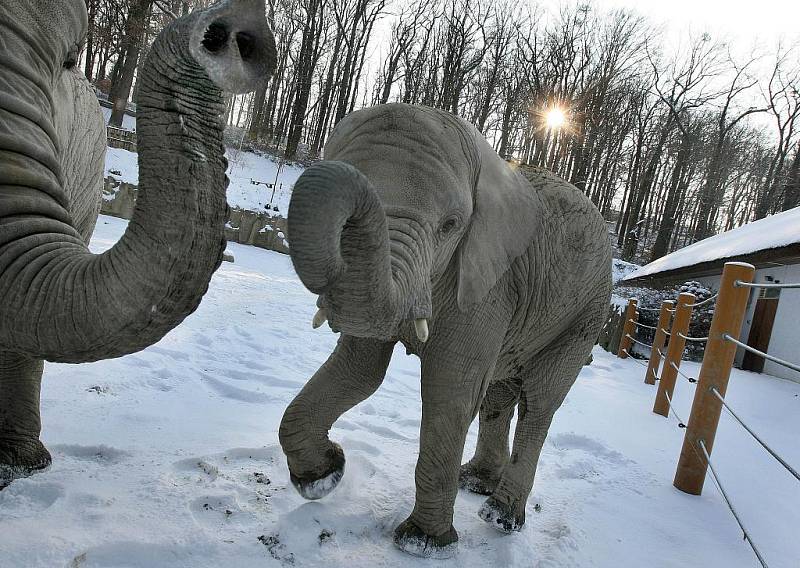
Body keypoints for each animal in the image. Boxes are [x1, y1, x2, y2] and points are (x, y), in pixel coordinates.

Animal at [278, 103, 608, 560]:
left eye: (450, 225)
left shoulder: (488, 283)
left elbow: (449, 390)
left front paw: (423, 544)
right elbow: (359, 370)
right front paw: (323, 476)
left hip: (586, 314)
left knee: (539, 403)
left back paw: (501, 517)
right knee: (498, 395)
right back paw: (476, 482)